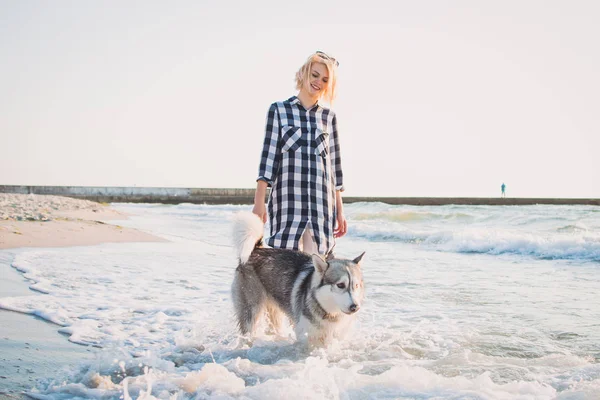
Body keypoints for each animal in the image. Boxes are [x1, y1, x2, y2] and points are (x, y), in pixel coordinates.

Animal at [232, 212, 366, 346]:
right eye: (340, 285)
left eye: (356, 285)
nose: (355, 307)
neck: (329, 312)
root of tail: (256, 250)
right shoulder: (306, 335)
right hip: (251, 309)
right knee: (248, 328)